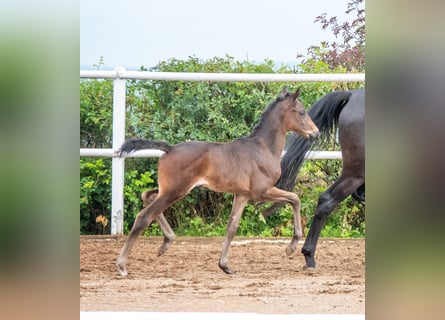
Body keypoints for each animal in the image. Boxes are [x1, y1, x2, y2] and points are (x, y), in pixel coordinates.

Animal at [116, 87, 318, 276]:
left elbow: (232, 227)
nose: (315, 134)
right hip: (176, 191)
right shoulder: (262, 191)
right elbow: (295, 198)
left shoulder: (242, 195)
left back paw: (167, 242)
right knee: (144, 216)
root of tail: (170, 148)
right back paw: (122, 264)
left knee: (147, 195)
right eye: (302, 112)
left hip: (169, 189)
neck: (263, 148)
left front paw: (225, 266)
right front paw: (291, 247)